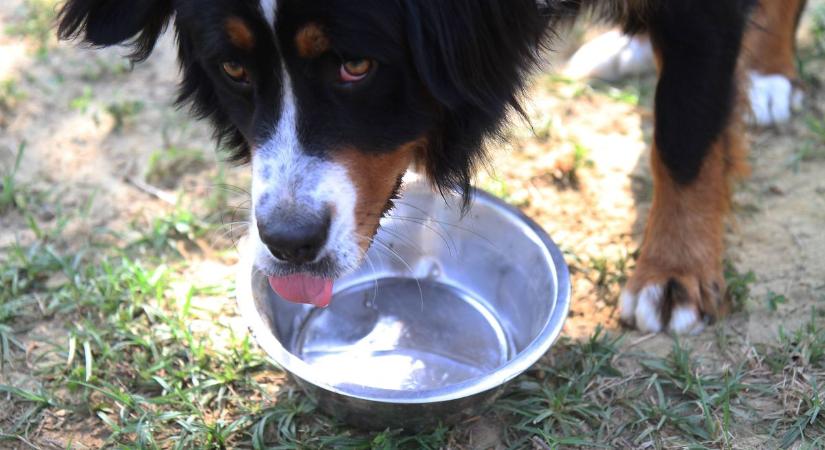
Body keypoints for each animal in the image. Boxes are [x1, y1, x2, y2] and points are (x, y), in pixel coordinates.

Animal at [56, 0, 804, 334]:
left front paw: (673, 273)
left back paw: (768, 73)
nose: (290, 242)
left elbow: (686, 134)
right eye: (234, 69)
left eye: (357, 65)